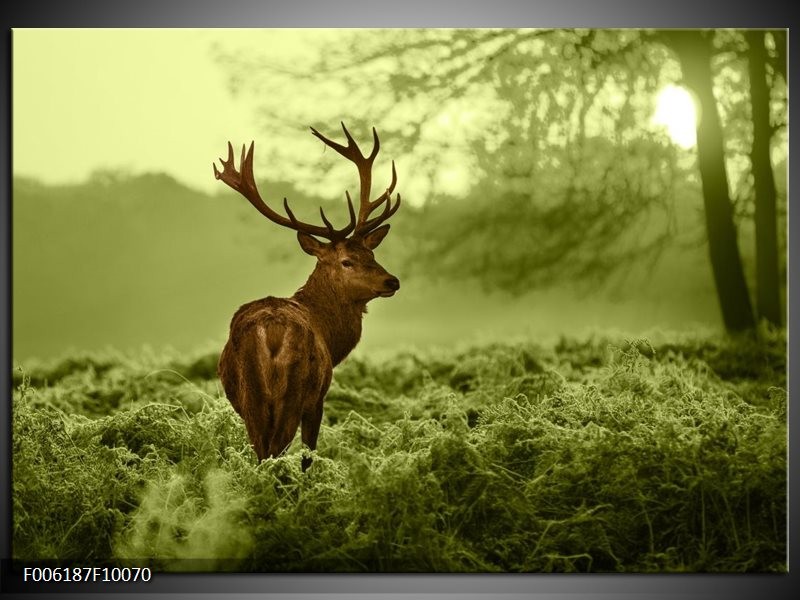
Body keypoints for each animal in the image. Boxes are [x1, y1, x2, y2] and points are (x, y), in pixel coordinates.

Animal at [212, 122, 400, 472]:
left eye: (371, 253)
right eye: (347, 261)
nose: (391, 280)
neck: (330, 334)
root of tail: (270, 332)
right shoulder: (318, 399)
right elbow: (308, 455)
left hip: (251, 398)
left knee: (262, 454)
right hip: (293, 393)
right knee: (276, 452)